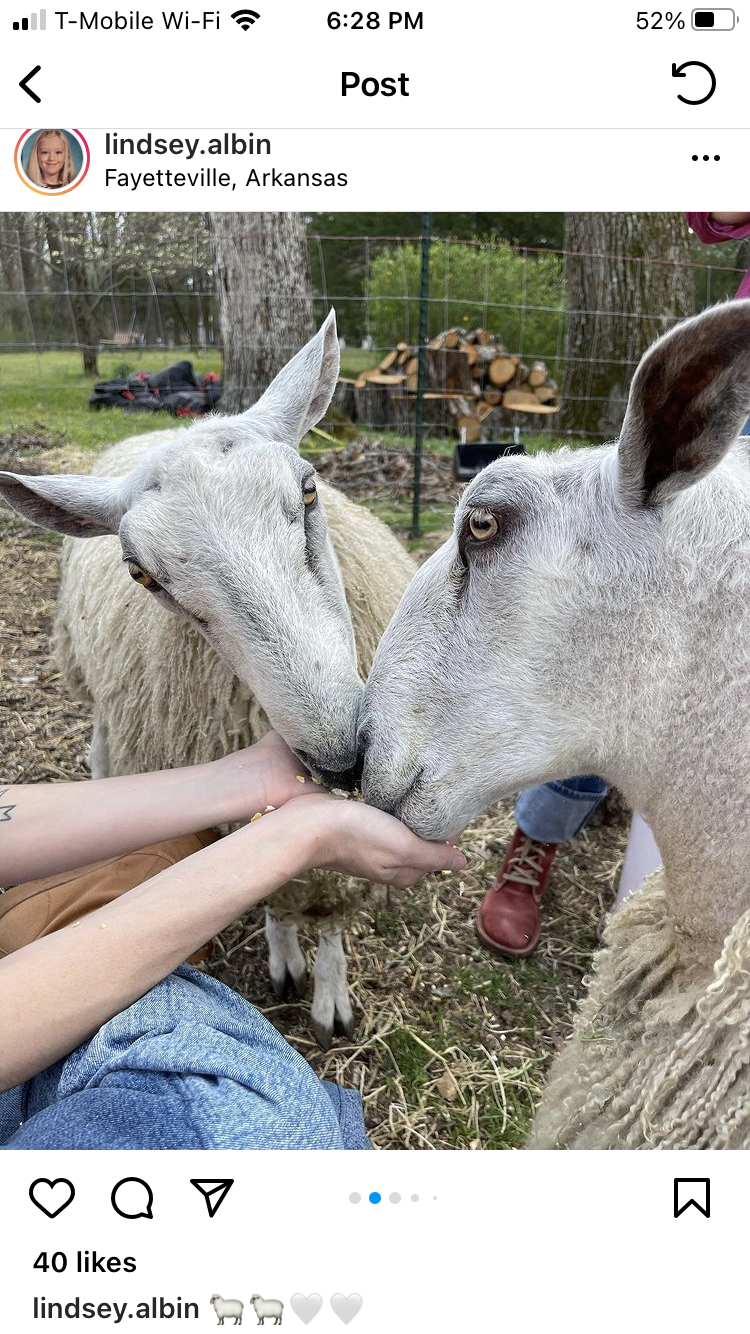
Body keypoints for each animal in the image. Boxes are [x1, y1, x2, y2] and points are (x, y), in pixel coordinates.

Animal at [0, 309, 411, 1040]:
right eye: (141, 574)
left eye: (309, 489)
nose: (342, 760)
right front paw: (288, 957)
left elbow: (326, 906)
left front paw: (328, 989)